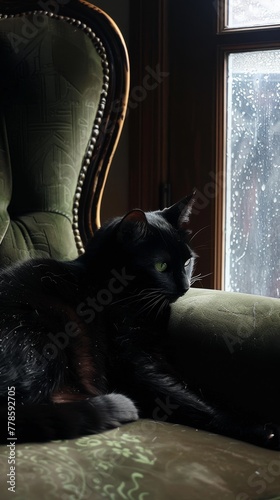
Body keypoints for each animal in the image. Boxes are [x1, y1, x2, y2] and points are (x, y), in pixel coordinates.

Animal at [0, 196, 278, 450]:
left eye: (187, 262)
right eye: (161, 266)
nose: (185, 286)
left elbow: (189, 386)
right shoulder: (134, 363)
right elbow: (186, 398)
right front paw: (259, 429)